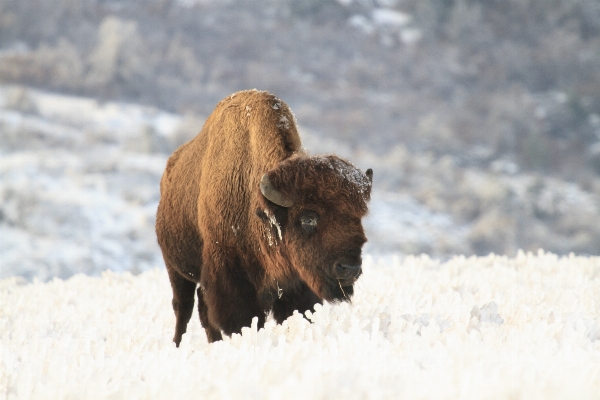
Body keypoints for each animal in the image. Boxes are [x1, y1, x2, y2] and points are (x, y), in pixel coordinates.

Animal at [156, 90, 370, 344]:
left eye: (358, 217)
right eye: (308, 218)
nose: (350, 268)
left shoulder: (295, 283)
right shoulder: (230, 279)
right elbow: (242, 320)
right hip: (176, 269)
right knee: (183, 308)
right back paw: (178, 344)